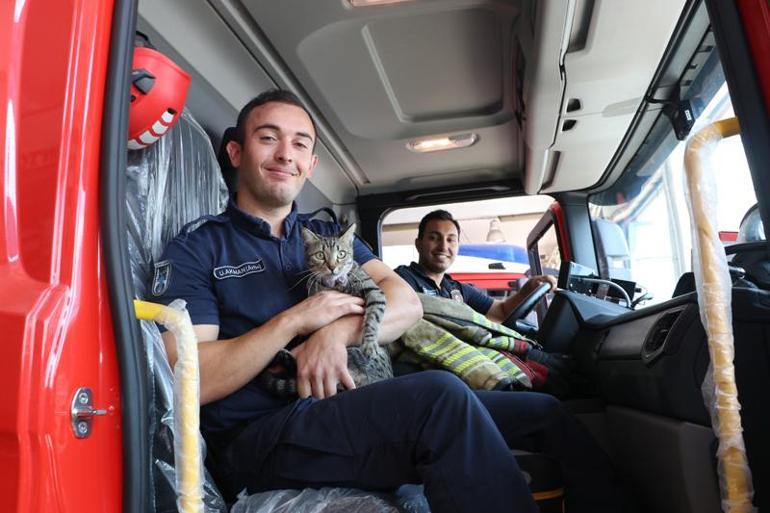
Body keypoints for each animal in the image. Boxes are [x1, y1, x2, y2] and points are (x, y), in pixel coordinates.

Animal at [256, 224, 392, 396]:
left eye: (341, 254)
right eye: (320, 255)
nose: (332, 267)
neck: (334, 284)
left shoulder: (374, 291)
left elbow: (372, 317)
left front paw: (370, 343)